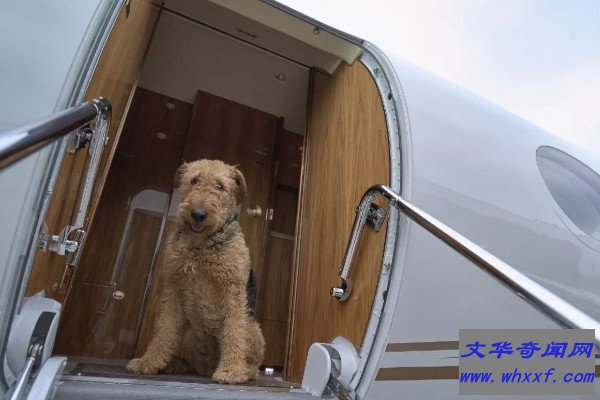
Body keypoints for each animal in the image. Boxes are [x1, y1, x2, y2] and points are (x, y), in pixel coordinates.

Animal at [126, 159, 265, 384]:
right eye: (194, 180)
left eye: (220, 186)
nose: (198, 214)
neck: (199, 246)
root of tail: (205, 365)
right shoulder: (173, 286)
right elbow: (163, 332)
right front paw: (147, 363)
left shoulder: (233, 290)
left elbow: (234, 332)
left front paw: (230, 372)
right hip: (186, 331)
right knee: (183, 354)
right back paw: (172, 364)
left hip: (252, 328)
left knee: (250, 358)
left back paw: (244, 371)